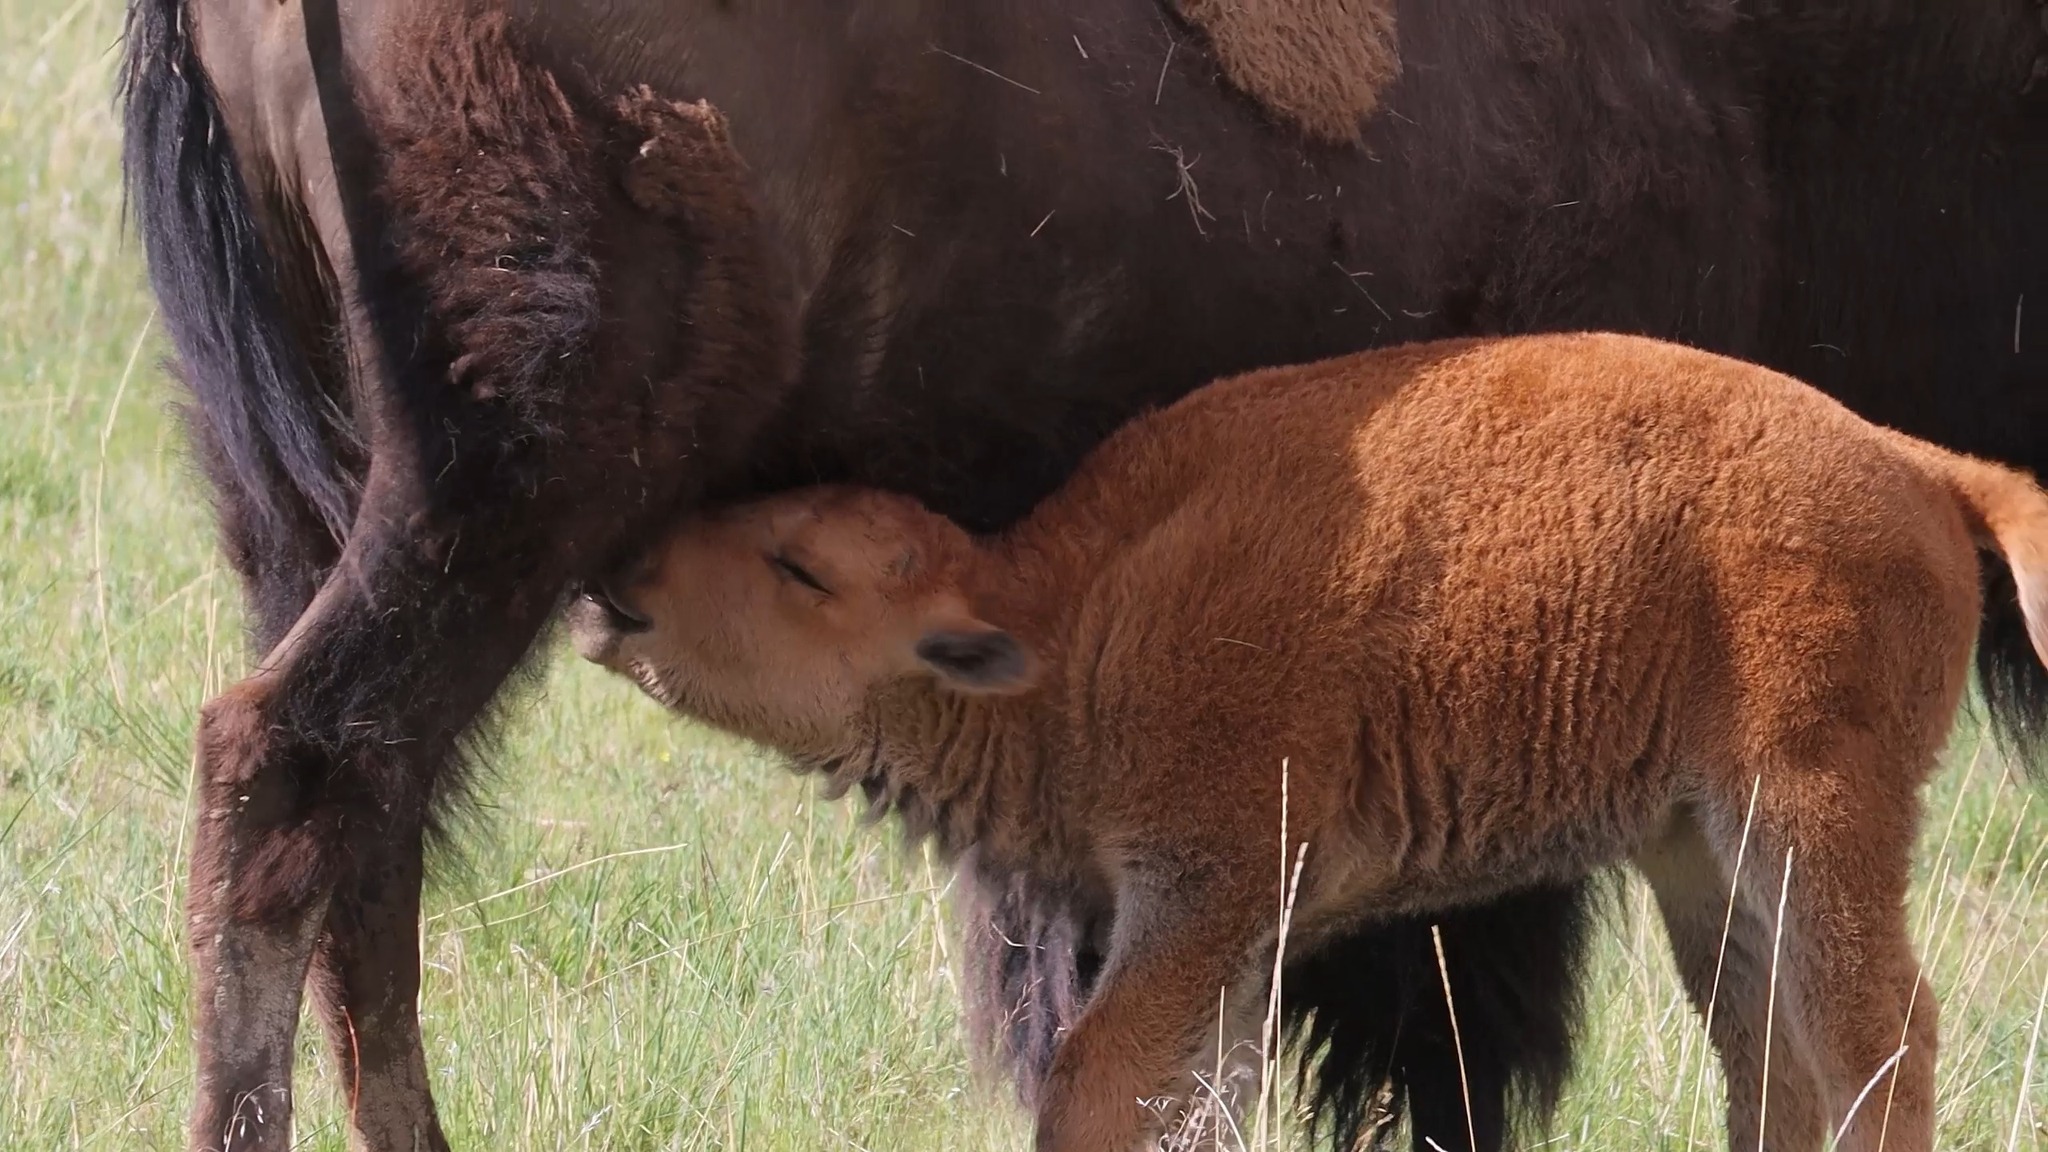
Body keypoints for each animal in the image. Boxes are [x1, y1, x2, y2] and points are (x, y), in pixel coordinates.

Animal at [568, 331, 2048, 1152]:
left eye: (800, 569)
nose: (615, 578)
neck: (1077, 616)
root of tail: (1916, 466)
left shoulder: (1201, 891)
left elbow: (1099, 1080)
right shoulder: (1230, 945)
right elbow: (1205, 1103)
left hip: (1811, 818)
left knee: (1880, 1037)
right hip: (1699, 857)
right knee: (1767, 1047)